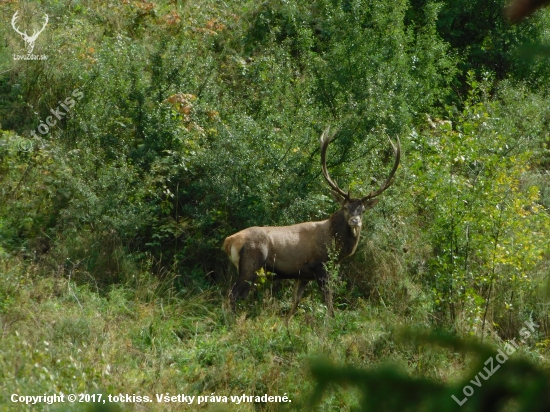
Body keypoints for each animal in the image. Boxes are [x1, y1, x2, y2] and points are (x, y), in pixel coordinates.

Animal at [223, 127, 402, 318]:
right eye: (345, 207)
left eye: (363, 210)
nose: (355, 221)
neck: (335, 245)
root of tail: (229, 241)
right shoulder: (320, 267)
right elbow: (329, 303)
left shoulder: (303, 275)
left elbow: (295, 303)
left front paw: (287, 324)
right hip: (250, 265)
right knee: (232, 295)